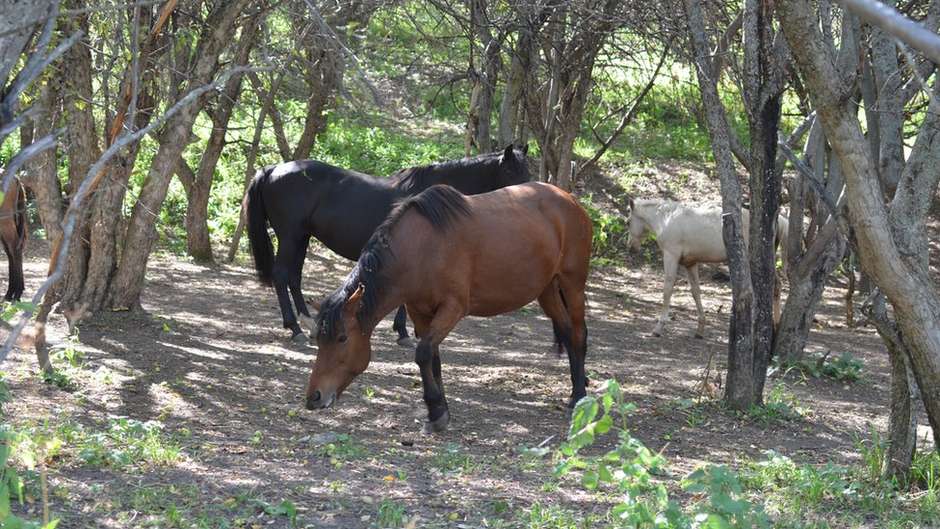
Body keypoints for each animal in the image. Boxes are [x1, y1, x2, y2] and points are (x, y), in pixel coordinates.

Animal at [246, 144, 532, 342]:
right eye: (510, 169)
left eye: (527, 169)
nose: (528, 194)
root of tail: (273, 169)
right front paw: (405, 332)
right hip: (290, 236)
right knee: (282, 274)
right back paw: (294, 327)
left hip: (301, 237)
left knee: (294, 276)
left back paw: (309, 322)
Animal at [304, 184, 592, 432]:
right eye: (318, 338)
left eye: (342, 338)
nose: (313, 397)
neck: (421, 250)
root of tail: (570, 199)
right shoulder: (420, 313)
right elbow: (433, 359)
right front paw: (439, 410)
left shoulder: (452, 308)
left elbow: (422, 353)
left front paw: (435, 409)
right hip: (547, 290)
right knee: (567, 331)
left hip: (573, 284)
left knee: (578, 334)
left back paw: (578, 396)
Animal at [628, 198, 788, 338]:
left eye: (628, 221)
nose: (630, 247)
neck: (666, 219)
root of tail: (779, 221)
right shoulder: (690, 264)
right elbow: (696, 292)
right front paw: (700, 330)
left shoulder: (671, 257)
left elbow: (667, 290)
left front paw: (658, 328)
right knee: (776, 286)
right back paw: (776, 326)